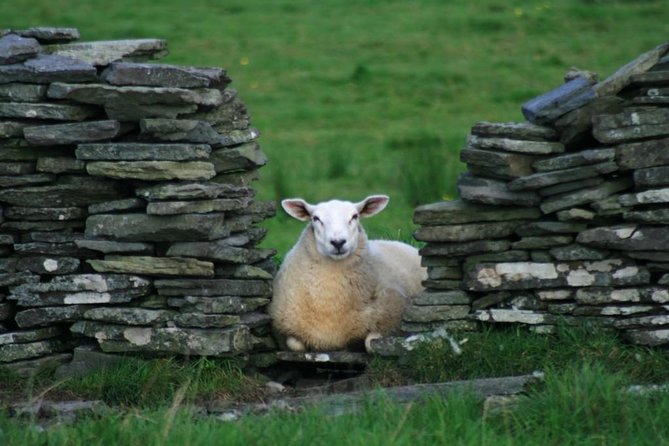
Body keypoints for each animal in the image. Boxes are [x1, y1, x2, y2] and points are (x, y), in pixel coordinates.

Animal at [268, 195, 426, 352]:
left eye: (355, 216)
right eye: (315, 218)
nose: (338, 242)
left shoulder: (390, 322)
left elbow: (370, 344)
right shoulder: (285, 329)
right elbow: (295, 345)